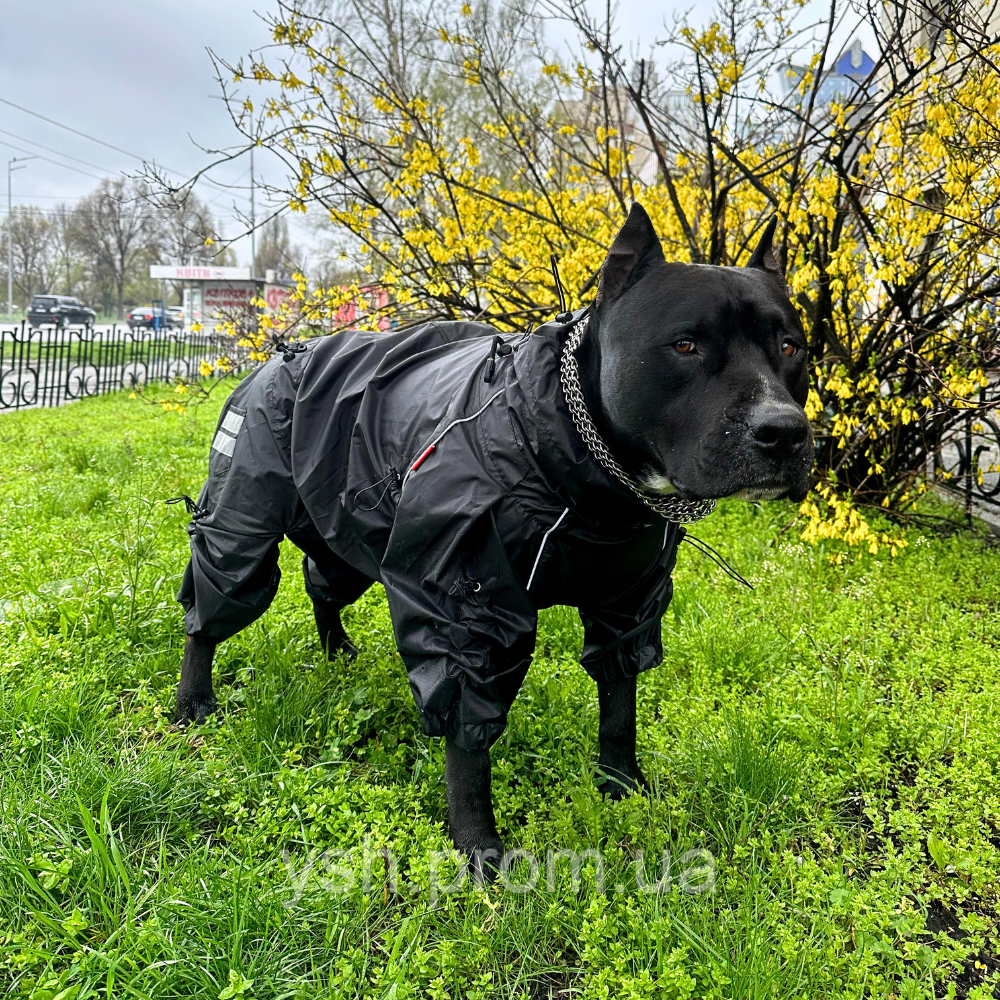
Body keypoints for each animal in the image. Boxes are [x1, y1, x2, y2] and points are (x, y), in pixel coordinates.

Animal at [172, 203, 812, 868]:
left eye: (792, 346)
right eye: (685, 345)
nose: (784, 430)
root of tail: (279, 353)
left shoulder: (628, 604)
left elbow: (619, 701)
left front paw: (621, 786)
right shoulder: (468, 610)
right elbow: (469, 743)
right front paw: (477, 847)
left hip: (346, 527)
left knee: (323, 582)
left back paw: (336, 652)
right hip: (242, 520)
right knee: (214, 600)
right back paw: (194, 701)